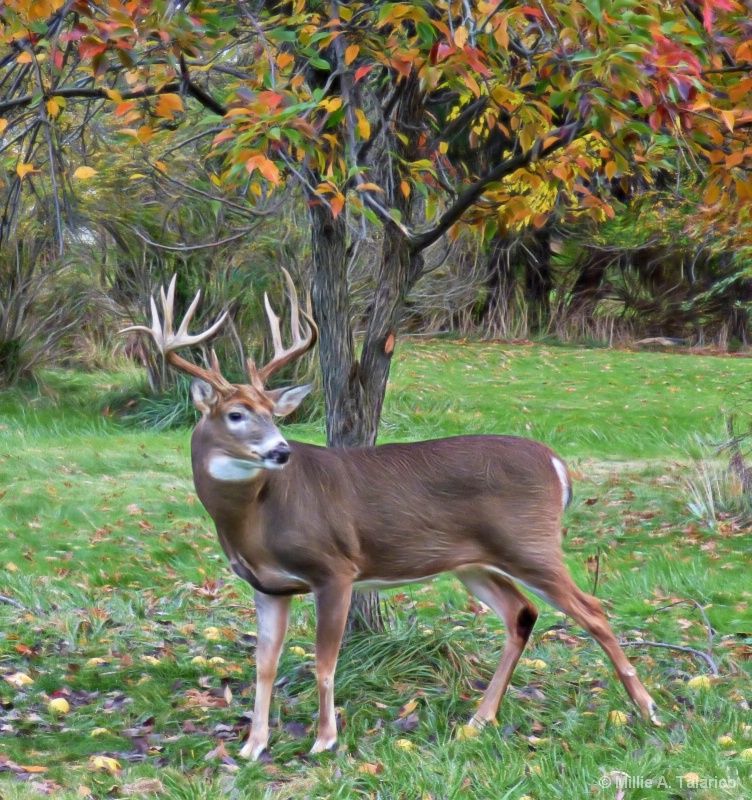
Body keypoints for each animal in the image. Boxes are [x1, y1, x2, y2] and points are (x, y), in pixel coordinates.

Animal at [126, 272, 660, 760]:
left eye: (274, 414)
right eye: (236, 414)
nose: (280, 451)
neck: (255, 520)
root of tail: (556, 464)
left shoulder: (335, 567)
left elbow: (325, 661)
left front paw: (324, 741)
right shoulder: (269, 586)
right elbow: (265, 665)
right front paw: (252, 746)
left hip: (530, 543)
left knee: (592, 609)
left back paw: (647, 709)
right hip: (475, 562)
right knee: (521, 613)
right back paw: (478, 720)